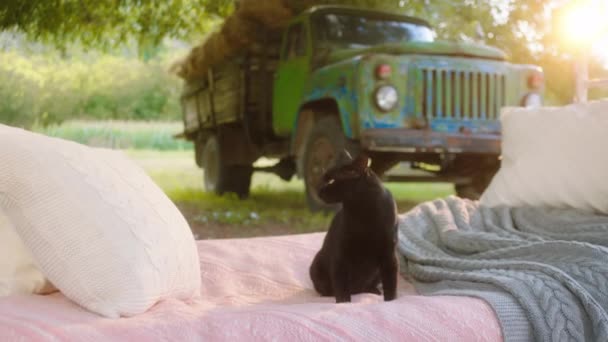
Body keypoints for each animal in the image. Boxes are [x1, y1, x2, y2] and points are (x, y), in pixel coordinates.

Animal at [308, 152, 400, 302]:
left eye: (332, 180)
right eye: (324, 177)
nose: (318, 189)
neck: (362, 212)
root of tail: (356, 290)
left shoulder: (389, 255)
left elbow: (391, 285)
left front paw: (390, 301)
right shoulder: (340, 255)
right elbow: (341, 287)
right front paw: (344, 303)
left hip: (377, 273)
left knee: (368, 286)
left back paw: (374, 291)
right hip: (316, 266)